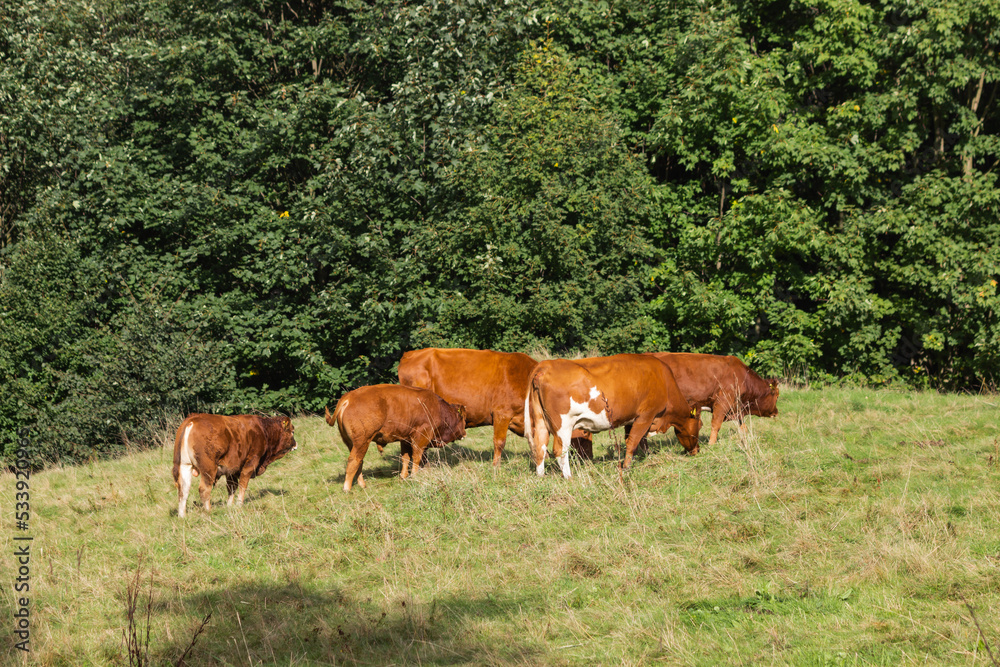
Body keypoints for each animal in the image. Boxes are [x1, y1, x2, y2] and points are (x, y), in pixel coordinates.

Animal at [328, 386, 468, 490]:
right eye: (462, 418)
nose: (464, 433)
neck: (436, 407)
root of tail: (348, 397)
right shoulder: (421, 437)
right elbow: (416, 457)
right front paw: (414, 476)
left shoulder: (405, 439)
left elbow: (405, 458)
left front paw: (403, 476)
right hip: (362, 441)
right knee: (354, 460)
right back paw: (347, 488)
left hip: (352, 443)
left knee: (359, 461)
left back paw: (362, 484)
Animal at [396, 348, 588, 468]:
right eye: (585, 432)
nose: (584, 458)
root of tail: (410, 354)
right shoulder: (501, 414)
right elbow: (499, 442)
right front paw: (496, 466)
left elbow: (536, 441)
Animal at [524, 352, 704, 478]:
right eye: (701, 425)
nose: (697, 451)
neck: (664, 381)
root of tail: (546, 365)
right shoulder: (646, 415)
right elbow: (633, 441)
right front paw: (626, 467)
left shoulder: (631, 419)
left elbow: (637, 441)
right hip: (563, 424)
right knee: (560, 450)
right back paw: (569, 477)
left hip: (540, 421)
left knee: (540, 447)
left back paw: (541, 476)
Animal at [648, 352, 780, 446]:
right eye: (777, 396)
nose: (776, 412)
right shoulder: (722, 402)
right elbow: (716, 424)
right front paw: (711, 444)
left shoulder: (736, 408)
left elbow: (743, 426)